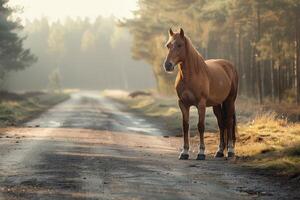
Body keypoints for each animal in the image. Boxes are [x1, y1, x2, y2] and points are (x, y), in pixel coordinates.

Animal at [163, 28, 238, 160]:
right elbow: (185, 126)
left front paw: (201, 152)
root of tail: (230, 66)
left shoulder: (201, 104)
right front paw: (184, 152)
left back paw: (230, 150)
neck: (192, 75)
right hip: (217, 104)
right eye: (168, 45)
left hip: (230, 101)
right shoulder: (183, 104)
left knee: (229, 122)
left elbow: (201, 126)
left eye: (179, 45)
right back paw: (219, 151)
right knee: (221, 123)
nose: (168, 65)